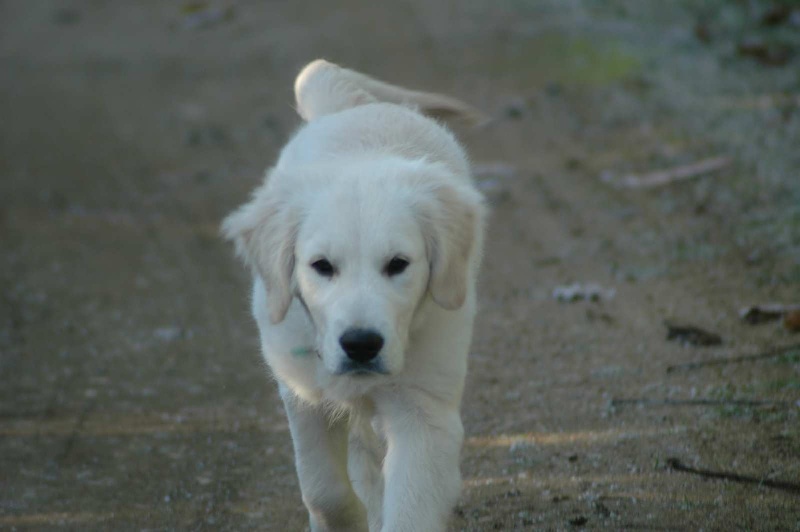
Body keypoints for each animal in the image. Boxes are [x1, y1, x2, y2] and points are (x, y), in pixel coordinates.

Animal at [222, 60, 484, 528]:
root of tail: (353, 109)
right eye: (322, 266)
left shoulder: (425, 411)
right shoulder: (303, 392)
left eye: (398, 264)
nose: (361, 345)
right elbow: (323, 490)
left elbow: (411, 510)